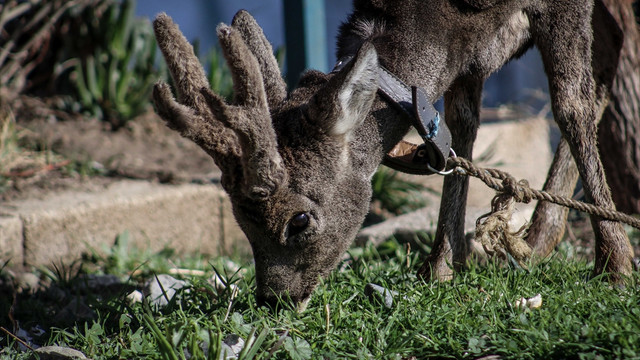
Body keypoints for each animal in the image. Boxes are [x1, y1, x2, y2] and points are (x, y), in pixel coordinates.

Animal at [152, 0, 636, 310]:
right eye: (238, 219)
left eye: (300, 220)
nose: (274, 299)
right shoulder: (467, 51)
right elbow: (459, 128)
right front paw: (441, 267)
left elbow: (570, 104)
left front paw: (616, 265)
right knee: (613, 38)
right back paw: (537, 237)